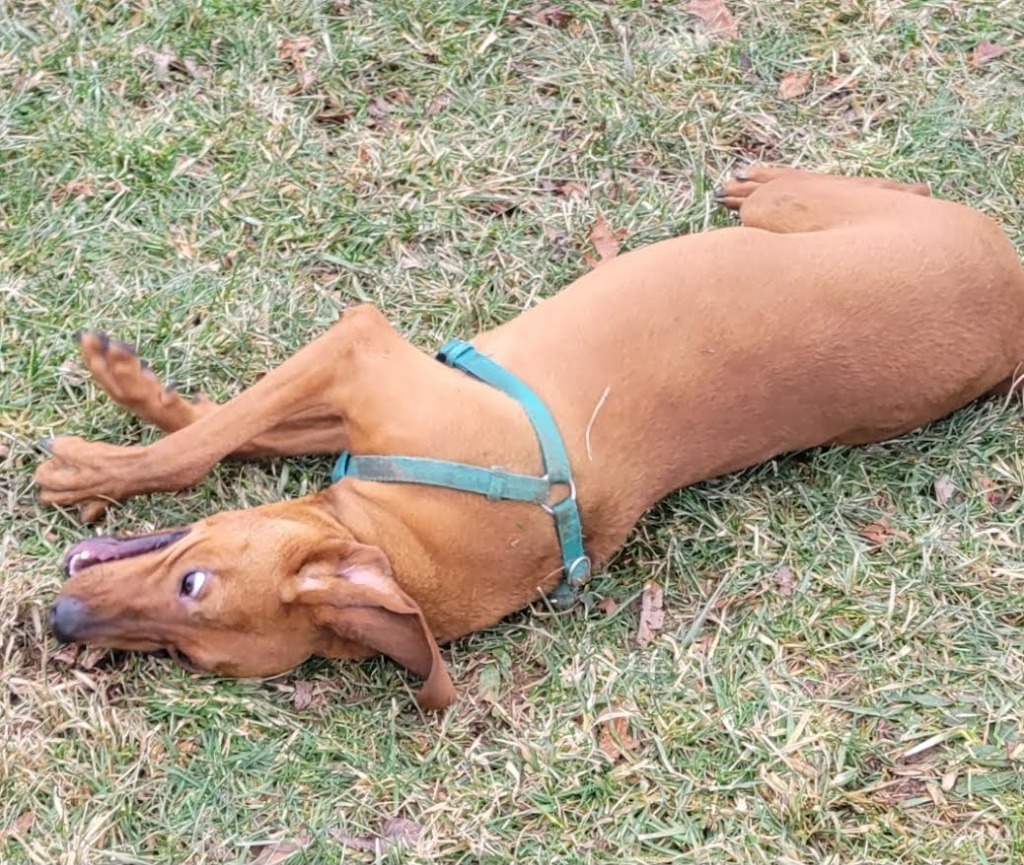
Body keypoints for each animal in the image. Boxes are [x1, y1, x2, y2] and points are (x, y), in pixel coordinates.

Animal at [34, 166, 1024, 708]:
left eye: (192, 592)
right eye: (180, 653)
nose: (59, 621)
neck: (401, 534)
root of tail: (1015, 305)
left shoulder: (358, 348)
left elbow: (205, 443)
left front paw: (95, 464)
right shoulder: (351, 394)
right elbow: (226, 427)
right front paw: (128, 418)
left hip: (808, 221)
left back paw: (765, 174)